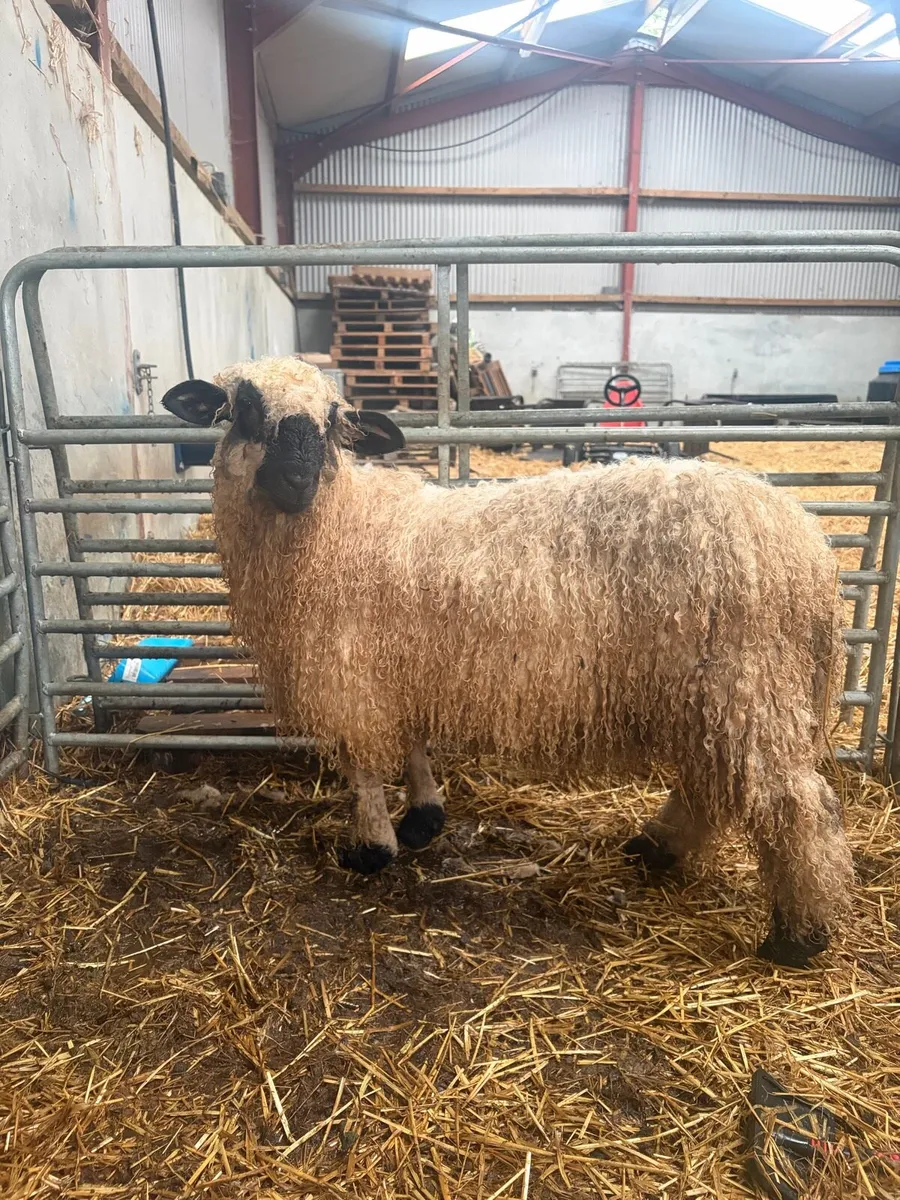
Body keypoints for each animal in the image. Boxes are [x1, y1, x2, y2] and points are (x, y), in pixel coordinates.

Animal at [162, 356, 853, 968]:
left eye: (334, 422)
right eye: (245, 411)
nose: (299, 481)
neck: (338, 530)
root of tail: (808, 548)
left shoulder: (350, 673)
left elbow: (363, 768)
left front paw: (371, 849)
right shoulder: (402, 665)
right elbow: (414, 744)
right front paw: (423, 818)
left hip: (745, 680)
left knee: (796, 804)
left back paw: (799, 936)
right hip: (705, 688)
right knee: (713, 785)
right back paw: (659, 850)